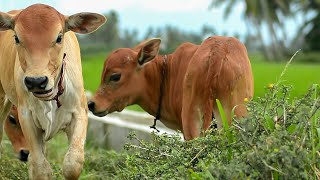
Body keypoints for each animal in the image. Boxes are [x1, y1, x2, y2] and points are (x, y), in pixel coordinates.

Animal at [0, 3, 106, 179]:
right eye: (17, 38)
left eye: (59, 37)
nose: (36, 81)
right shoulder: (26, 115)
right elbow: (40, 169)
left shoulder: (80, 112)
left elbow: (72, 164)